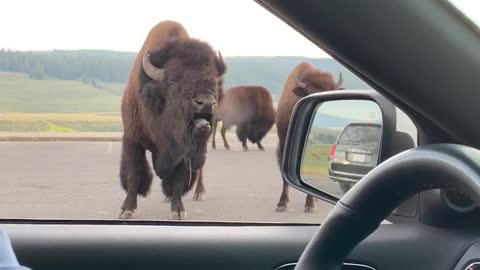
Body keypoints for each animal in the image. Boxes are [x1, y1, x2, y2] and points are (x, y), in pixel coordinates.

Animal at [118, 20, 227, 219]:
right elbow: (134, 174)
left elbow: (178, 180)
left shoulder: (185, 150)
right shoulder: (132, 139)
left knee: (200, 169)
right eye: (173, 82)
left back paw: (199, 192)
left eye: (215, 84)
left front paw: (178, 210)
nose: (207, 103)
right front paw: (126, 209)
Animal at [274, 61, 342, 213]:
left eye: (331, 95)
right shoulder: (283, 142)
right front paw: (282, 203)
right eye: (310, 94)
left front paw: (310, 205)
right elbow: (284, 174)